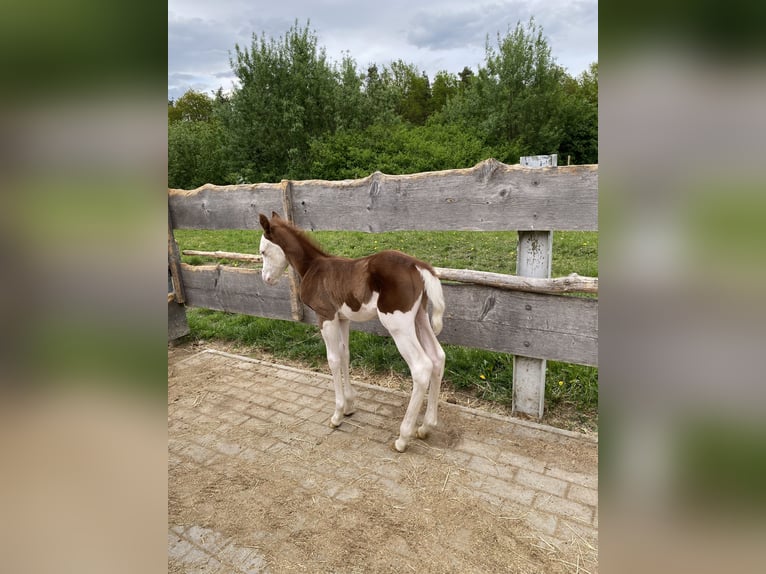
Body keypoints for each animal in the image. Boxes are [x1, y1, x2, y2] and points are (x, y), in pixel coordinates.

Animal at [258, 212, 446, 452]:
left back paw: (403, 438)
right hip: (419, 317)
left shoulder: (326, 316)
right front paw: (349, 406)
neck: (313, 267)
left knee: (422, 367)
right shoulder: (343, 319)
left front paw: (337, 415)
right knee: (438, 357)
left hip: (398, 324)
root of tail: (418, 266)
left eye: (263, 251)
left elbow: (333, 360)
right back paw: (426, 427)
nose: (266, 279)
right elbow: (345, 354)